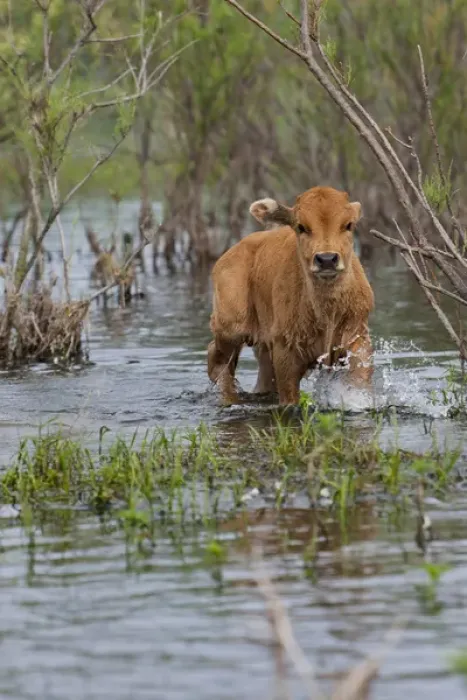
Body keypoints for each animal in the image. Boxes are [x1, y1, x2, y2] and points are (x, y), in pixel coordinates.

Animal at [207, 186, 374, 405]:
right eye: (301, 226)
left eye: (348, 224)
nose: (326, 259)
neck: (326, 314)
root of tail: (230, 254)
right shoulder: (285, 351)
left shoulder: (358, 337)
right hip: (231, 327)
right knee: (218, 361)